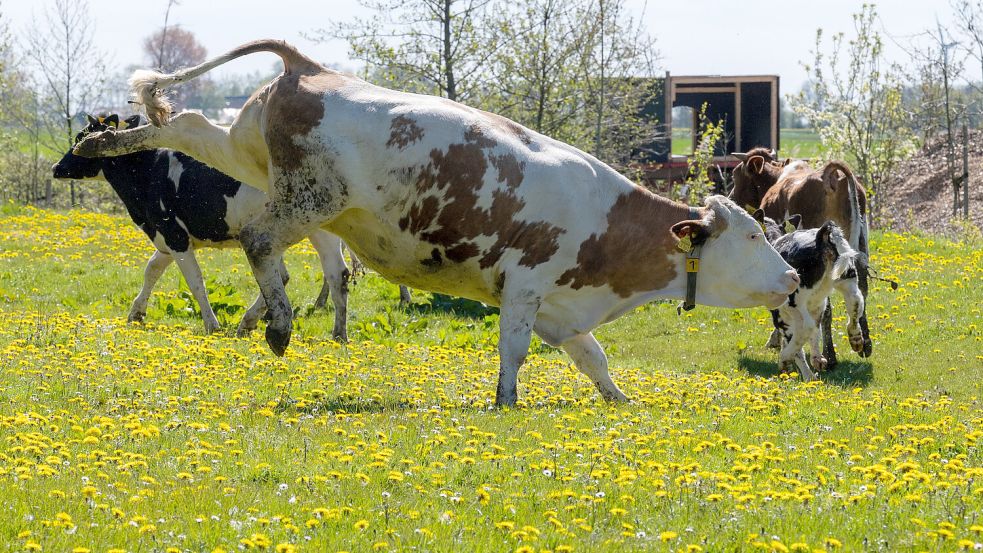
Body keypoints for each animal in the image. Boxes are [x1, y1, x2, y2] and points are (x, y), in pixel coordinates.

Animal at [54, 114, 361, 338]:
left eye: (81, 138)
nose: (56, 168)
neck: (147, 171)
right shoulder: (167, 238)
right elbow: (151, 270)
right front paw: (136, 314)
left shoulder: (174, 235)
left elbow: (195, 281)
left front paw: (211, 324)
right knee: (328, 274)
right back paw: (332, 333)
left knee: (320, 274)